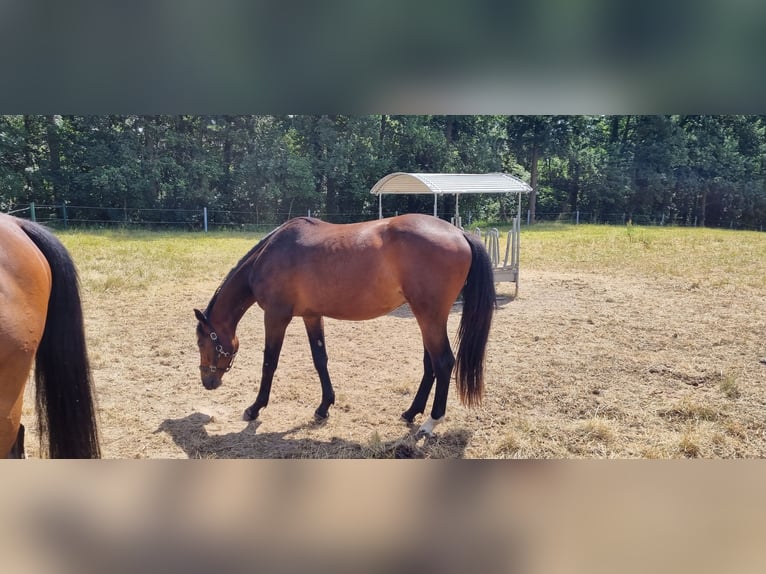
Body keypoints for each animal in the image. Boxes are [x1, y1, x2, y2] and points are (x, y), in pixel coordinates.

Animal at [196, 215, 498, 436]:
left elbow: (269, 362)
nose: (208, 382)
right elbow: (320, 359)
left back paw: (430, 422)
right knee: (430, 365)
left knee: (444, 362)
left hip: (429, 316)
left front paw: (255, 408)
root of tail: (460, 233)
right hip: (427, 317)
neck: (270, 255)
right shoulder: (311, 316)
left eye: (201, 341)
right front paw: (323, 407)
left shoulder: (276, 316)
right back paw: (411, 412)